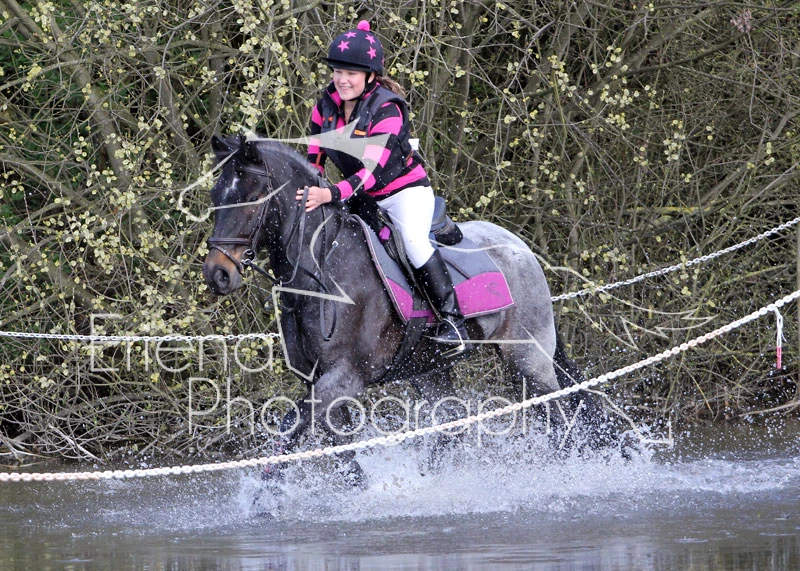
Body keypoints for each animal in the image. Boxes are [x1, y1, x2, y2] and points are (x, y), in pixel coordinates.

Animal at [202, 134, 616, 478]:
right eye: (216, 198)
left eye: (250, 200)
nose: (217, 274)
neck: (322, 268)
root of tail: (521, 248)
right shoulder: (319, 381)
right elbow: (337, 448)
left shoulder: (345, 377)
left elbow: (290, 429)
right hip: (428, 371)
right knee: (452, 424)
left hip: (527, 360)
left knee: (559, 413)